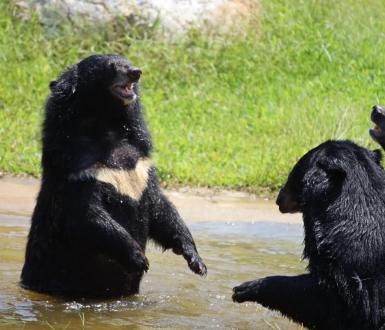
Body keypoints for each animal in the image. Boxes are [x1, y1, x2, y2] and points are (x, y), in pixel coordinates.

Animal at [20, 53, 207, 296]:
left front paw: (197, 262)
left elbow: (161, 208)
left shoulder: (141, 165)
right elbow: (87, 214)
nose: (136, 72)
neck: (106, 124)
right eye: (111, 66)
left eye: (127, 61)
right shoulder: (78, 168)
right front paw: (140, 259)